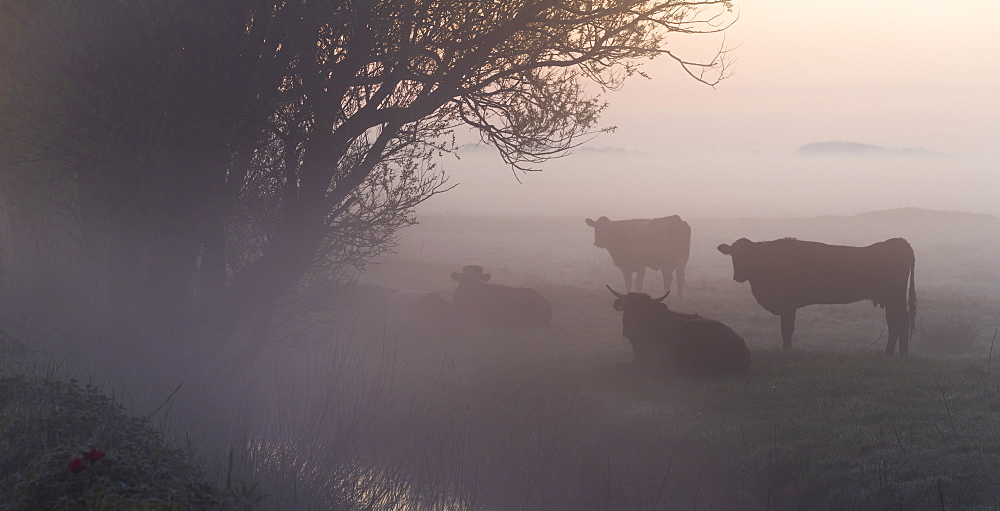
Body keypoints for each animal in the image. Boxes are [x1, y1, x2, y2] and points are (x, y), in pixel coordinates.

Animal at [716, 239, 916, 356]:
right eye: (733, 255)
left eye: (750, 255)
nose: (738, 276)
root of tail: (899, 242)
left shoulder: (788, 305)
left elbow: (786, 330)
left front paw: (786, 351)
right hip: (890, 300)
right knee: (894, 322)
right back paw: (892, 353)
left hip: (894, 297)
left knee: (902, 321)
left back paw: (900, 354)